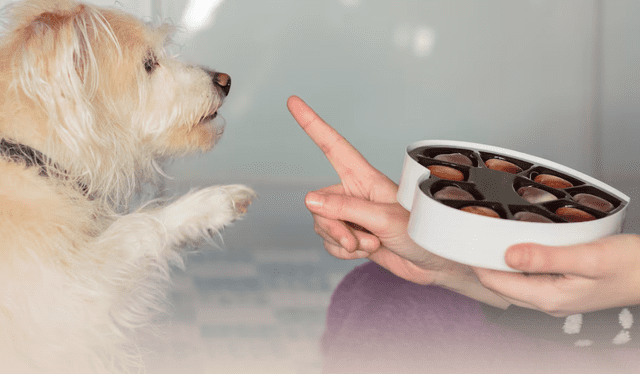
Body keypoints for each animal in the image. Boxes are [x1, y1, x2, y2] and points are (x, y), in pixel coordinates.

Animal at [0, 1, 255, 372]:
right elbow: (137, 227)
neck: (34, 158)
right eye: (148, 64)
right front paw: (209, 204)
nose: (226, 81)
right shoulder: (65, 302)